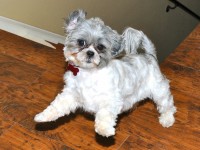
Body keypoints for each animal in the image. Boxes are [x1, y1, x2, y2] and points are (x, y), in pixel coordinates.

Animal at [34, 9, 177, 137]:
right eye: (81, 42)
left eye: (100, 47)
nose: (90, 53)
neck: (88, 74)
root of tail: (149, 56)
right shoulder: (70, 95)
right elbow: (56, 106)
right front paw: (43, 116)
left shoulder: (111, 100)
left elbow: (105, 114)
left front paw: (104, 129)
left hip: (159, 92)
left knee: (168, 106)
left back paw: (167, 119)